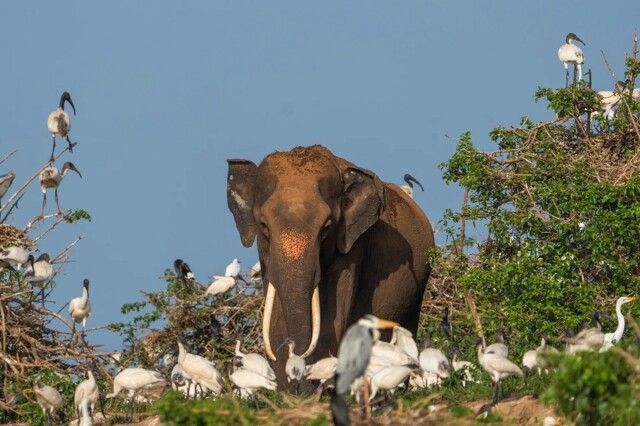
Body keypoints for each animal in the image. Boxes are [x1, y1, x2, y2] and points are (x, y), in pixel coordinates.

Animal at [226, 146, 436, 386]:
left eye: (326, 228)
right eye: (264, 226)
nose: (298, 369)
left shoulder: (351, 244)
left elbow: (332, 322)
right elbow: (276, 320)